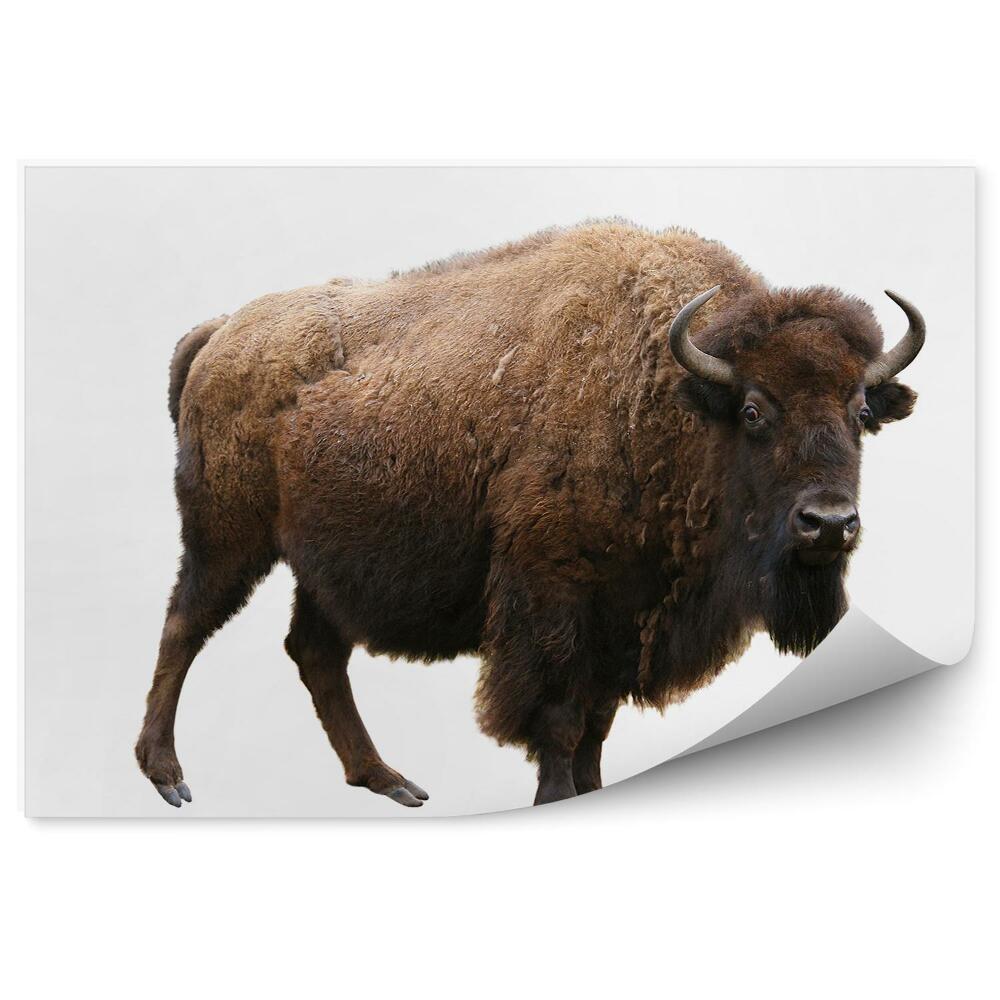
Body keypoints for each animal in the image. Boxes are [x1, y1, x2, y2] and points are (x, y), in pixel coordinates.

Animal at [135, 220, 923, 809]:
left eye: (860, 412)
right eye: (756, 410)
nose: (829, 524)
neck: (672, 395)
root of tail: (221, 333)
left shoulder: (622, 618)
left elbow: (596, 726)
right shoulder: (553, 604)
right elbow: (560, 720)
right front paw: (555, 797)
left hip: (320, 562)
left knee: (315, 651)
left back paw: (388, 781)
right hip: (226, 537)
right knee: (184, 625)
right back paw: (168, 776)